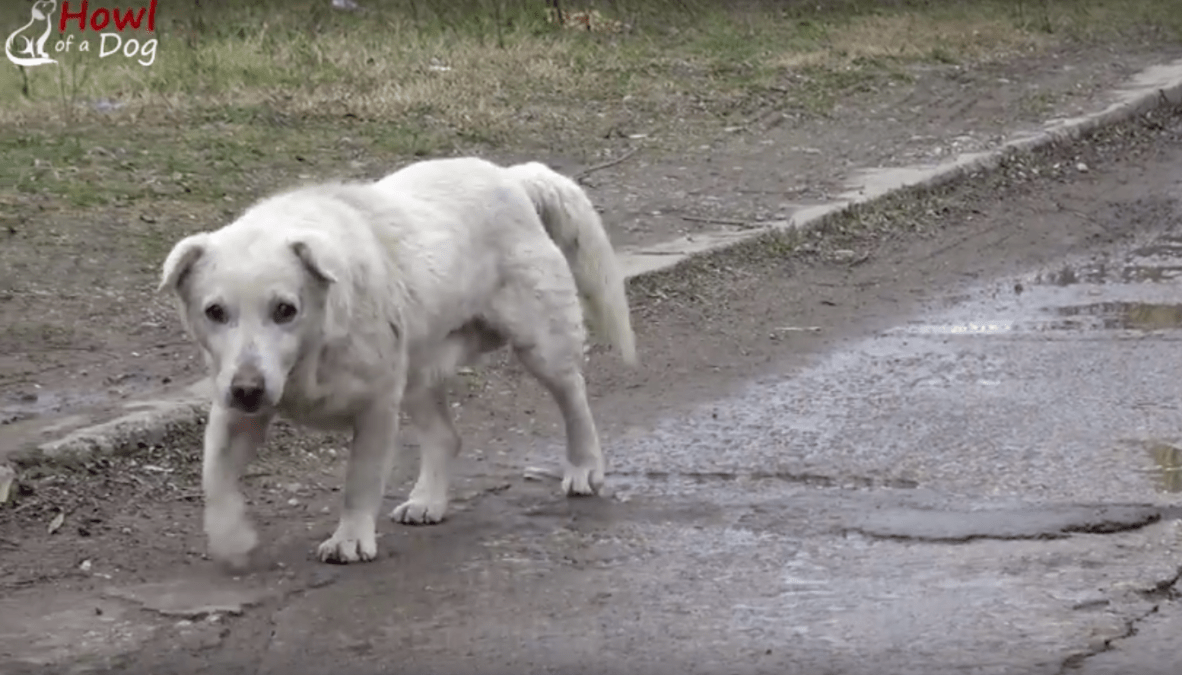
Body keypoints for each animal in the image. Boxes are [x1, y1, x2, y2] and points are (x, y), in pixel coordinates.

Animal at [159, 157, 638, 565]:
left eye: (285, 309)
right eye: (215, 311)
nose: (248, 390)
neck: (314, 350)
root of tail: (513, 177)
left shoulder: (375, 408)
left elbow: (359, 482)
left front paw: (350, 539)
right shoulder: (233, 409)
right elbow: (215, 478)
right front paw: (230, 538)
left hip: (542, 346)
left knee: (575, 398)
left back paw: (584, 467)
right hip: (419, 374)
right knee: (446, 437)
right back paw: (428, 500)